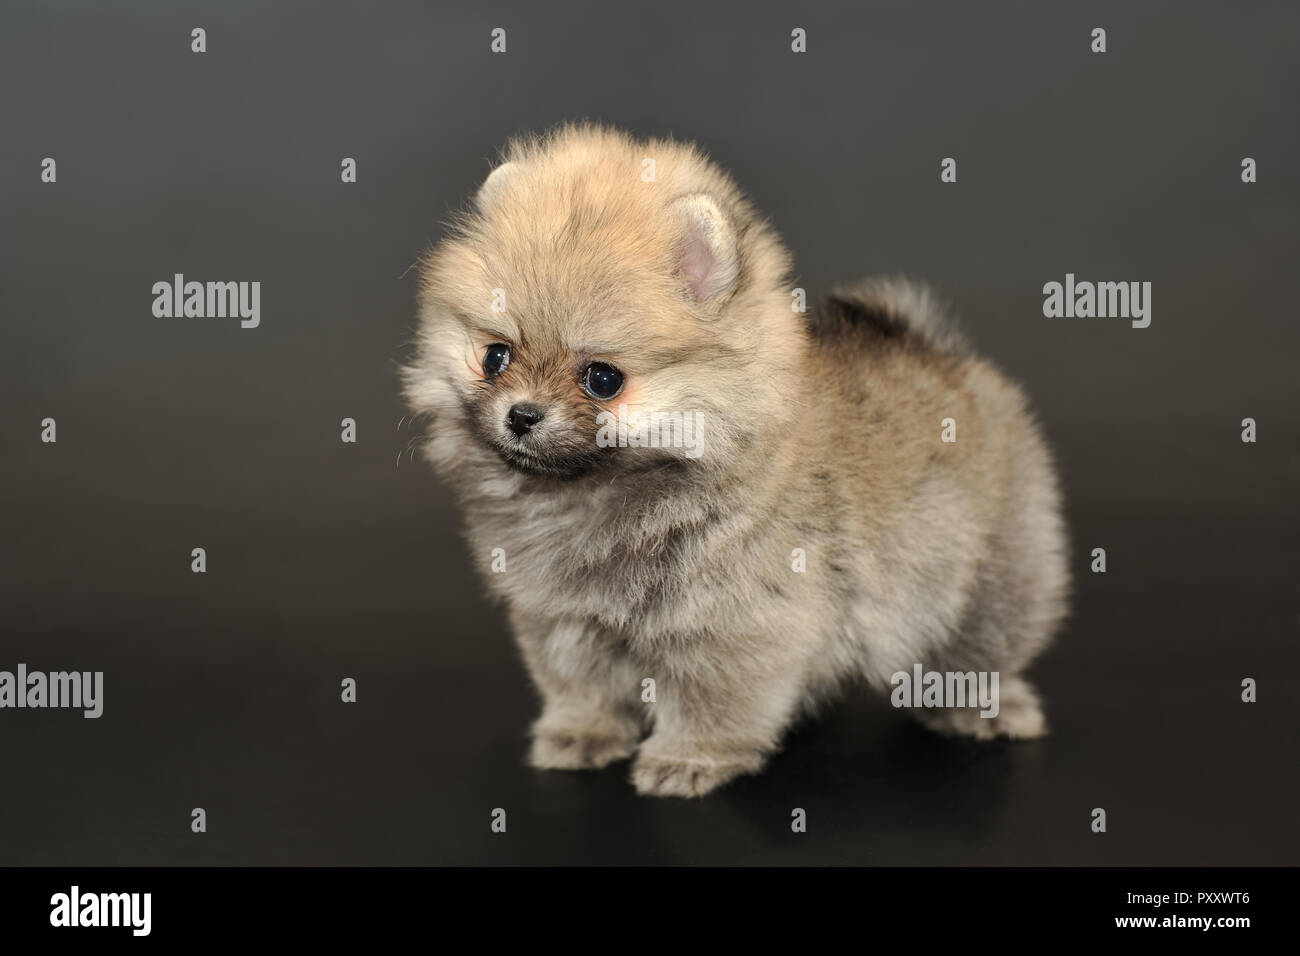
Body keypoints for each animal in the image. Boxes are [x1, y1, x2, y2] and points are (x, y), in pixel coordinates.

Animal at [403, 127, 1066, 801]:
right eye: (495, 357)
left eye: (602, 378)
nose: (521, 415)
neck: (599, 494)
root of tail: (940, 353)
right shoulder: (564, 617)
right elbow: (582, 684)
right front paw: (582, 734)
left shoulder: (730, 622)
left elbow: (712, 699)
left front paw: (689, 758)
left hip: (993, 564)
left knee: (987, 640)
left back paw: (982, 706)